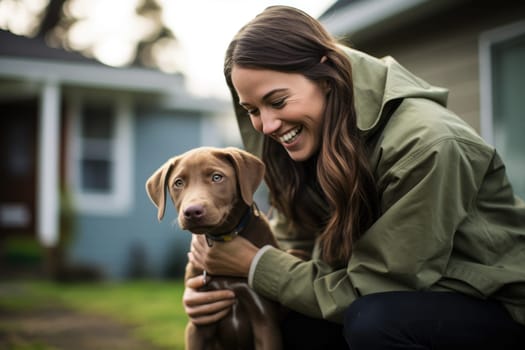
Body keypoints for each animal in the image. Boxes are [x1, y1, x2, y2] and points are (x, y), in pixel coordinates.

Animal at [143, 146, 282, 350]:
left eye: (217, 177)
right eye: (178, 183)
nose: (192, 212)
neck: (222, 236)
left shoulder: (265, 320)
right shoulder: (199, 321)